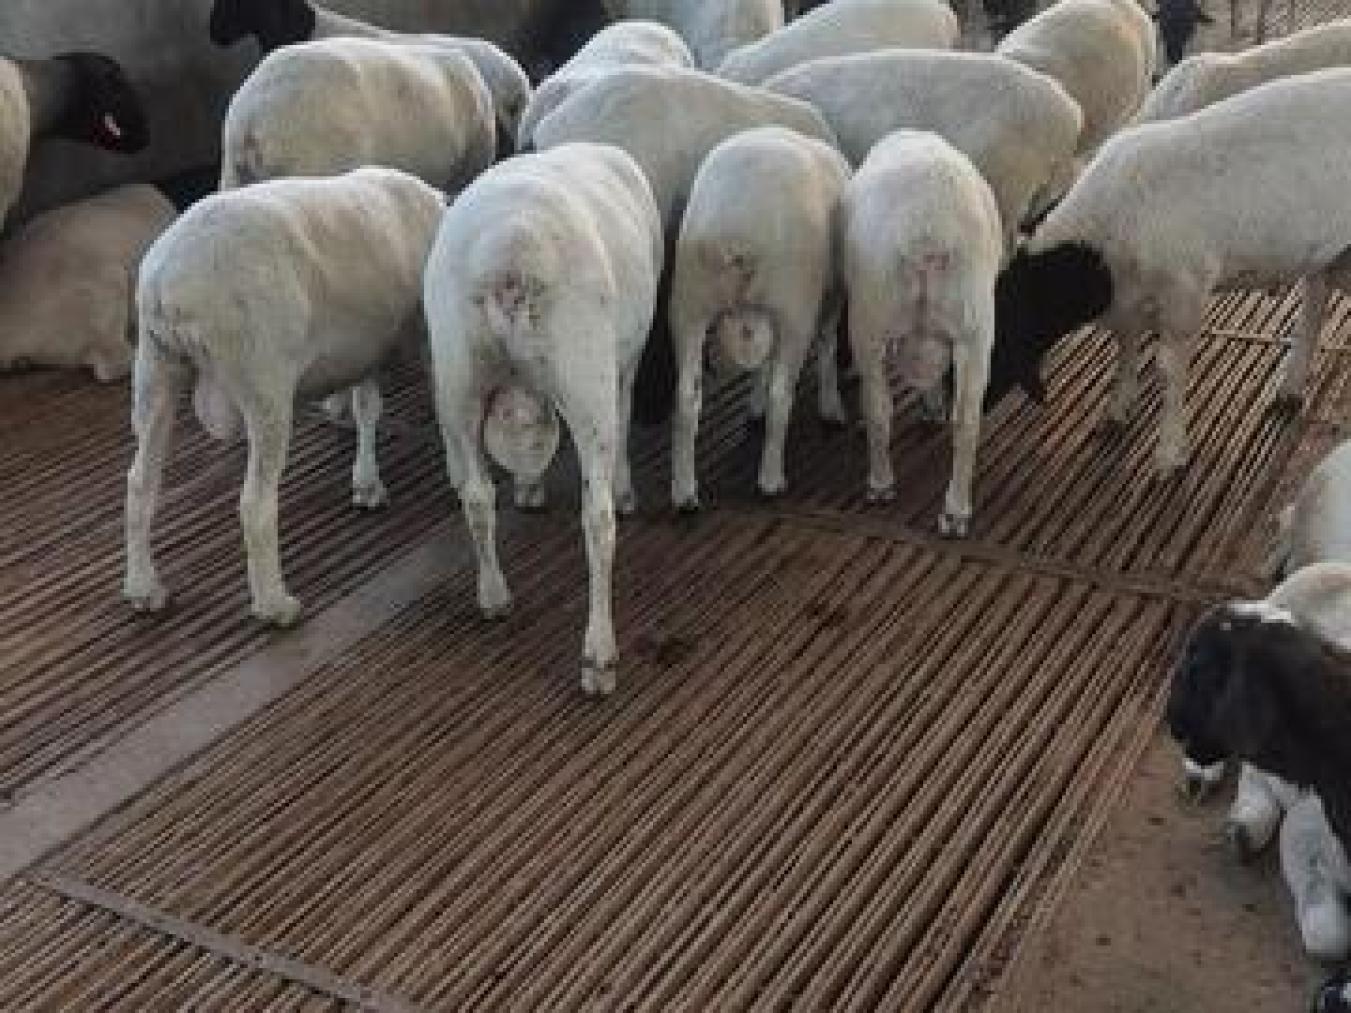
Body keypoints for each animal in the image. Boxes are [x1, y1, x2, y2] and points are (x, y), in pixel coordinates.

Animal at [123, 166, 447, 626]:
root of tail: (170, 283)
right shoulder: (420, 336)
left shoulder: (366, 345)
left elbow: (367, 407)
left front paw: (367, 482)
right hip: (264, 381)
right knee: (255, 505)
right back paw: (275, 604)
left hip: (155, 368)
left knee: (140, 483)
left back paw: (142, 587)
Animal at [423, 142, 663, 698]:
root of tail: (509, 252)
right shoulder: (623, 362)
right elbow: (624, 415)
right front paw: (624, 488)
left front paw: (528, 487)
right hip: (586, 370)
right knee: (597, 519)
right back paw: (599, 655)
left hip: (460, 374)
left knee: (476, 497)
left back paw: (493, 595)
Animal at [668, 127, 851, 510]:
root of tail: (738, 227)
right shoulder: (831, 294)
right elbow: (827, 345)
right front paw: (830, 406)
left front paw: (755, 404)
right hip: (794, 303)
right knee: (784, 395)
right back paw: (770, 479)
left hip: (690, 303)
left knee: (687, 396)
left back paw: (685, 491)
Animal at [841, 130, 1004, 537]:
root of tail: (927, 225)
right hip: (975, 324)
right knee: (968, 421)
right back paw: (956, 510)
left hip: (870, 316)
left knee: (879, 409)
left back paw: (880, 483)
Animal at [986, 69, 1351, 475]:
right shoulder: (1129, 298)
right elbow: (1126, 344)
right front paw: (1116, 410)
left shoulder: (1185, 288)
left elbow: (1169, 368)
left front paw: (1170, 453)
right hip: (1326, 253)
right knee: (1315, 300)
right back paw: (1289, 390)